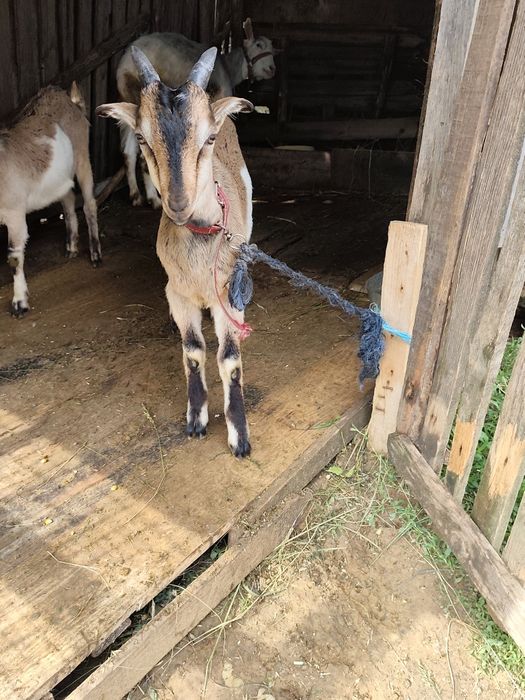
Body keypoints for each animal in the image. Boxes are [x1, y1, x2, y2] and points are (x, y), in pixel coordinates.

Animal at [0, 84, 101, 317]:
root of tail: (70, 101)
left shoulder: (14, 212)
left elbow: (14, 257)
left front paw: (20, 303)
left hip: (82, 154)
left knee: (89, 203)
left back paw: (95, 255)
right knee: (69, 199)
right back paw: (71, 247)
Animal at [98, 47, 254, 457]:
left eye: (209, 137)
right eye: (142, 136)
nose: (179, 204)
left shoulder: (225, 298)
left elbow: (229, 360)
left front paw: (239, 437)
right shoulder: (178, 292)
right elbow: (194, 351)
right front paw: (196, 419)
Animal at [116, 18, 276, 208]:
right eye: (258, 45)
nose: (272, 69)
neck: (229, 69)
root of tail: (125, 61)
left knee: (129, 152)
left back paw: (136, 196)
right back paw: (154, 199)